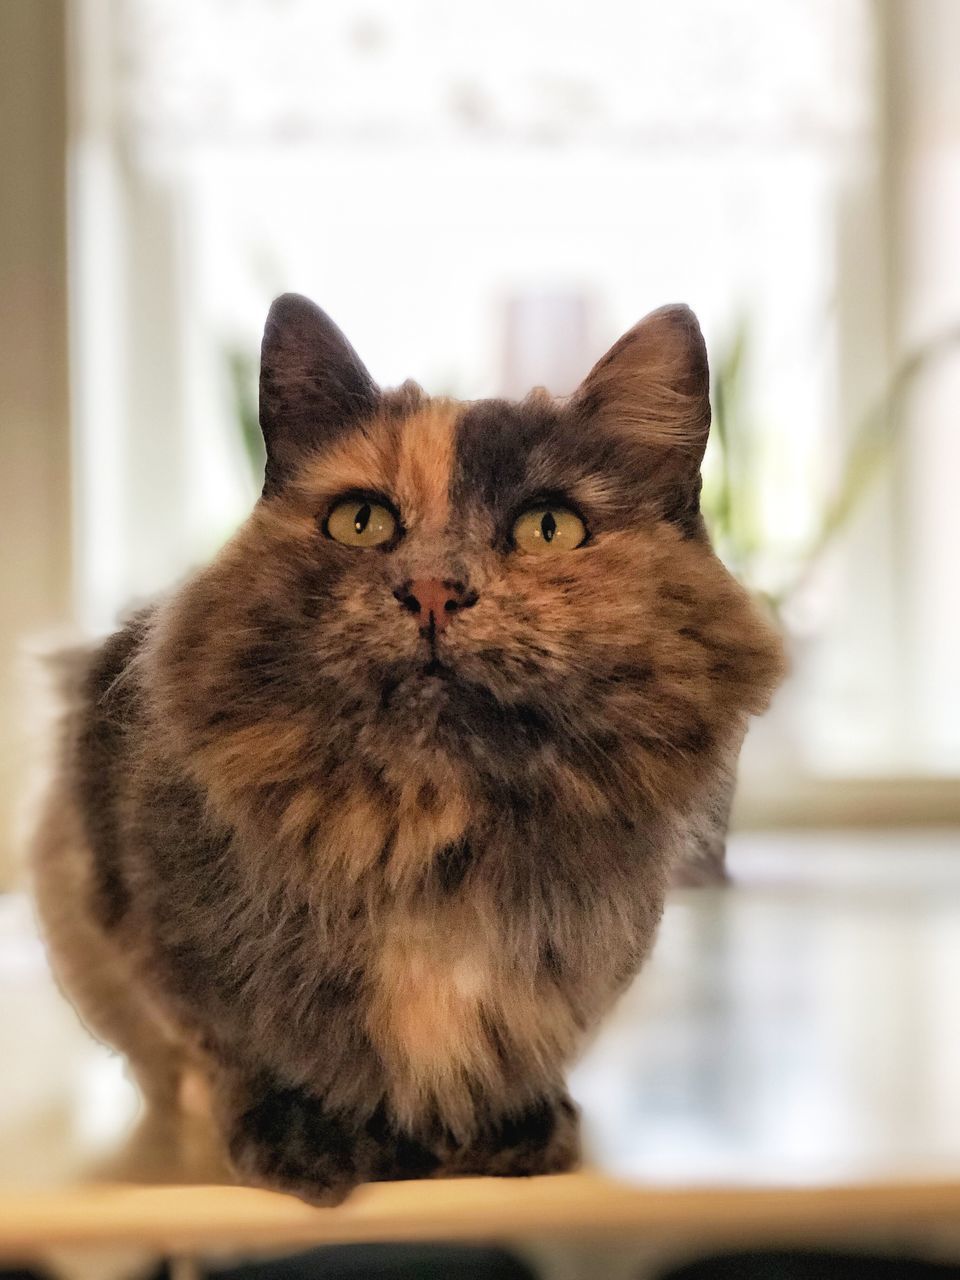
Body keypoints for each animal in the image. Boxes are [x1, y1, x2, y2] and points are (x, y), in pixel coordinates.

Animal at [32, 294, 788, 1203]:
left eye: (548, 527)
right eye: (362, 521)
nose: (432, 589)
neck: (428, 843)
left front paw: (515, 1131)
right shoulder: (144, 921)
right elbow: (237, 1046)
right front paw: (305, 1140)